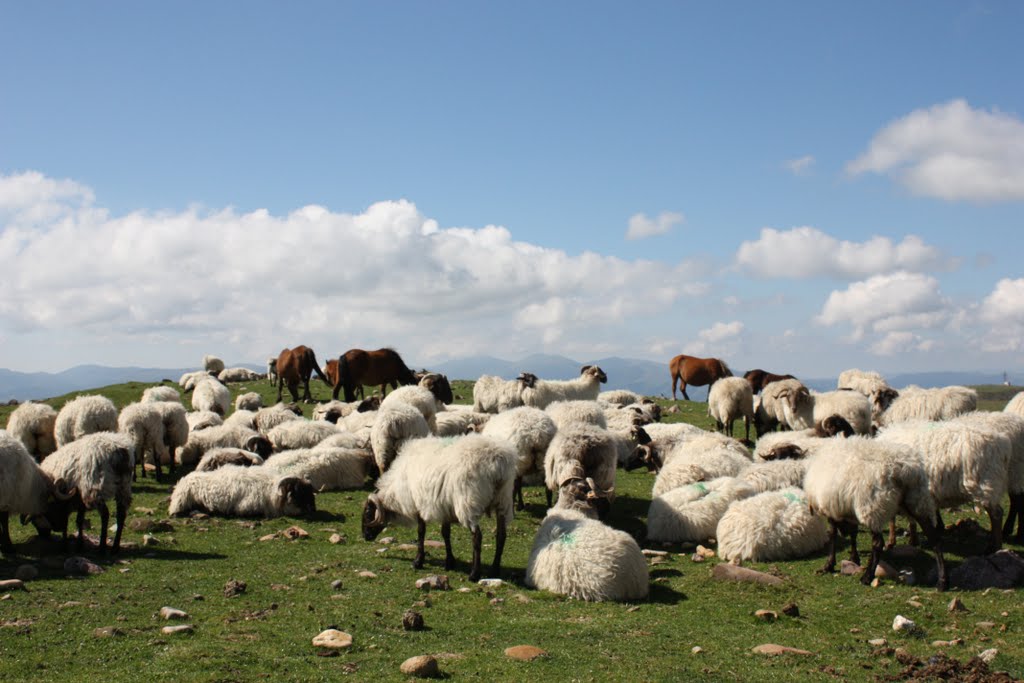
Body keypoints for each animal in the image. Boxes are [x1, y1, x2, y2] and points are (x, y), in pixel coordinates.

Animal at [362, 436, 520, 581]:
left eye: (368, 512)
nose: (365, 536)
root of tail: (497, 463)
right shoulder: (445, 507)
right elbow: (445, 533)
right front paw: (449, 562)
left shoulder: (420, 504)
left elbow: (421, 532)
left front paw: (418, 561)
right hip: (504, 500)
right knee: (501, 535)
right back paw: (494, 570)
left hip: (469, 502)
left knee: (477, 537)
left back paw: (474, 574)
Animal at [802, 438, 946, 593]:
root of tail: (903, 469)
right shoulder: (849, 510)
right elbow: (853, 534)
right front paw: (853, 557)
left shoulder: (833, 510)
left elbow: (833, 534)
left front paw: (829, 565)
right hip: (917, 500)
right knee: (935, 539)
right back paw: (942, 582)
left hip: (873, 508)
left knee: (878, 543)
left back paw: (867, 577)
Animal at [876, 419, 1011, 552]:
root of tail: (1002, 445)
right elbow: (910, 518)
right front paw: (913, 540)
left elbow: (893, 518)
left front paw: (891, 542)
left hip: (984, 484)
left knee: (997, 514)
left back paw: (994, 547)